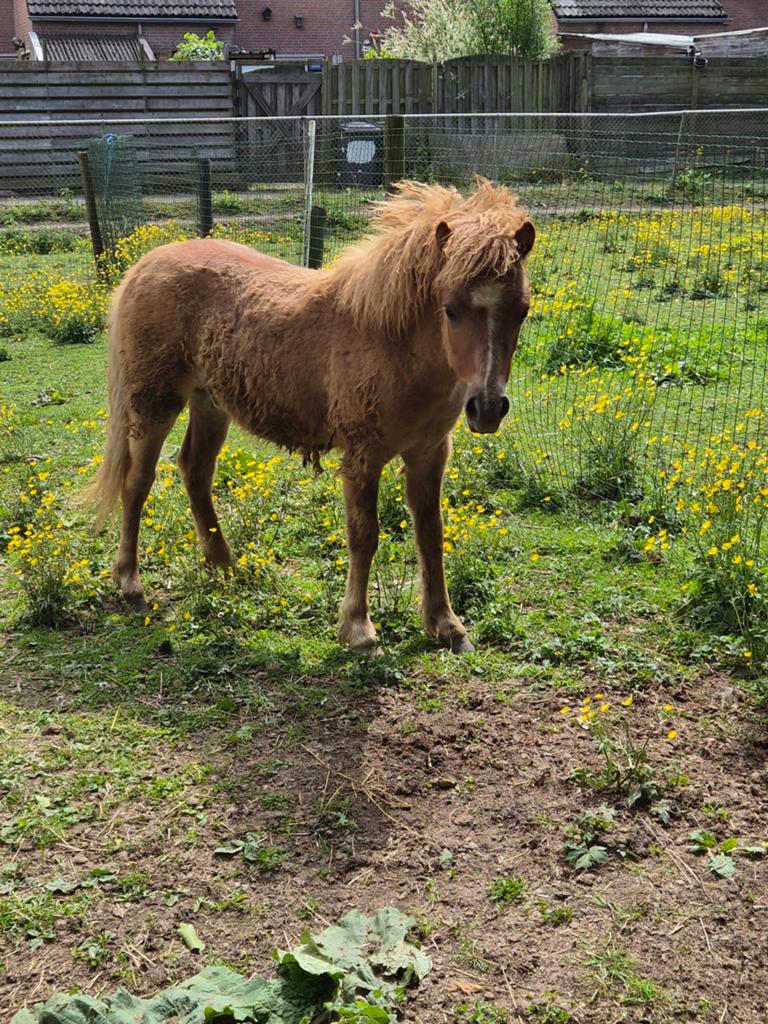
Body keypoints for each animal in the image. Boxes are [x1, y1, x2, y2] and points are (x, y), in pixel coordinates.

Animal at [83, 178, 535, 652]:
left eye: (522, 309)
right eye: (450, 309)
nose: (487, 407)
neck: (393, 344)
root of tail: (146, 264)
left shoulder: (429, 453)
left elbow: (431, 533)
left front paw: (445, 624)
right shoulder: (362, 456)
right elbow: (364, 535)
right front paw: (358, 628)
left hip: (210, 403)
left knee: (195, 471)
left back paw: (224, 565)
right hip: (154, 403)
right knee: (137, 483)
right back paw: (131, 583)